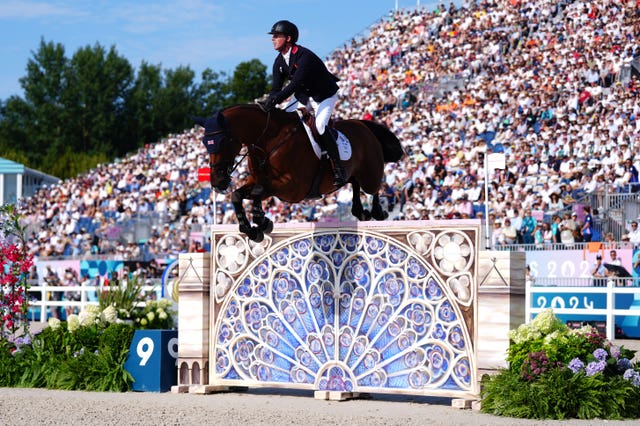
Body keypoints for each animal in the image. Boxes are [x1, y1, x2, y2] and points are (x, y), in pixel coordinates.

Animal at [192, 104, 404, 241]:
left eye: (223, 142)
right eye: (205, 143)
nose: (217, 182)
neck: (268, 140)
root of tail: (363, 126)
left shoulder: (292, 188)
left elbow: (258, 192)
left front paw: (261, 221)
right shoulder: (259, 181)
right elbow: (238, 195)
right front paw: (253, 228)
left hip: (370, 172)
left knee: (373, 188)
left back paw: (377, 212)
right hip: (353, 172)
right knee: (353, 182)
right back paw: (360, 211)